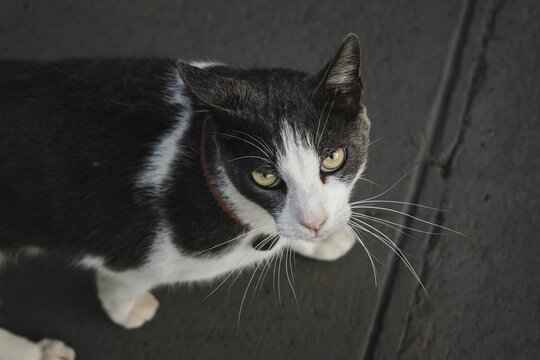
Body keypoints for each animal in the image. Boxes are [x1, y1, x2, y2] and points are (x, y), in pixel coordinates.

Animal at [0, 33, 372, 358]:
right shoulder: (128, 250)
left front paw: (325, 238)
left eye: (333, 158)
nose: (315, 223)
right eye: (265, 177)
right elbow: (120, 281)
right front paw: (126, 307)